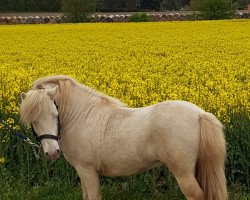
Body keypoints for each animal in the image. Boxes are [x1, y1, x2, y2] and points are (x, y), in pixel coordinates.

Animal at [19, 75, 228, 200]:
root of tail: (199, 114)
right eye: (33, 120)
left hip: (183, 174)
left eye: (55, 113)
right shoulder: (83, 172)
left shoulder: (87, 171)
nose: (52, 152)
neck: (81, 115)